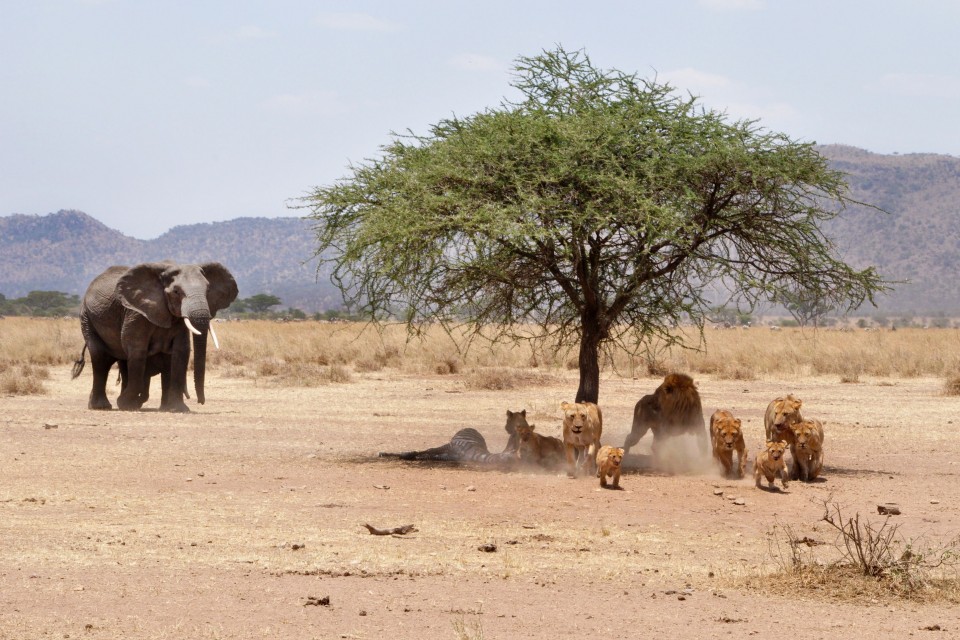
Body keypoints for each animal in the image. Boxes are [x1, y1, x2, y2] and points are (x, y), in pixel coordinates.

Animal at [71, 262, 236, 412]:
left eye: (208, 290)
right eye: (176, 291)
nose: (200, 401)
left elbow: (181, 351)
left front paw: (177, 409)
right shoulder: (136, 313)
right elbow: (137, 349)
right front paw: (126, 405)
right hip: (87, 317)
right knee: (101, 358)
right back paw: (102, 406)